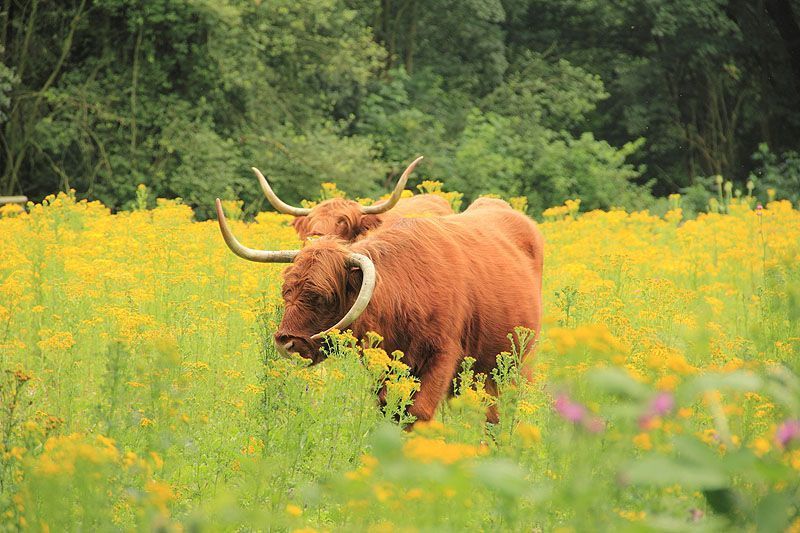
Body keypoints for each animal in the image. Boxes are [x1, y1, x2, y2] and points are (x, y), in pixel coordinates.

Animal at [216, 196, 544, 424]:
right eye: (286, 290)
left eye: (323, 295)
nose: (286, 342)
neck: (406, 293)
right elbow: (391, 410)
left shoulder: (442, 356)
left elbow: (418, 413)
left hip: (517, 364)